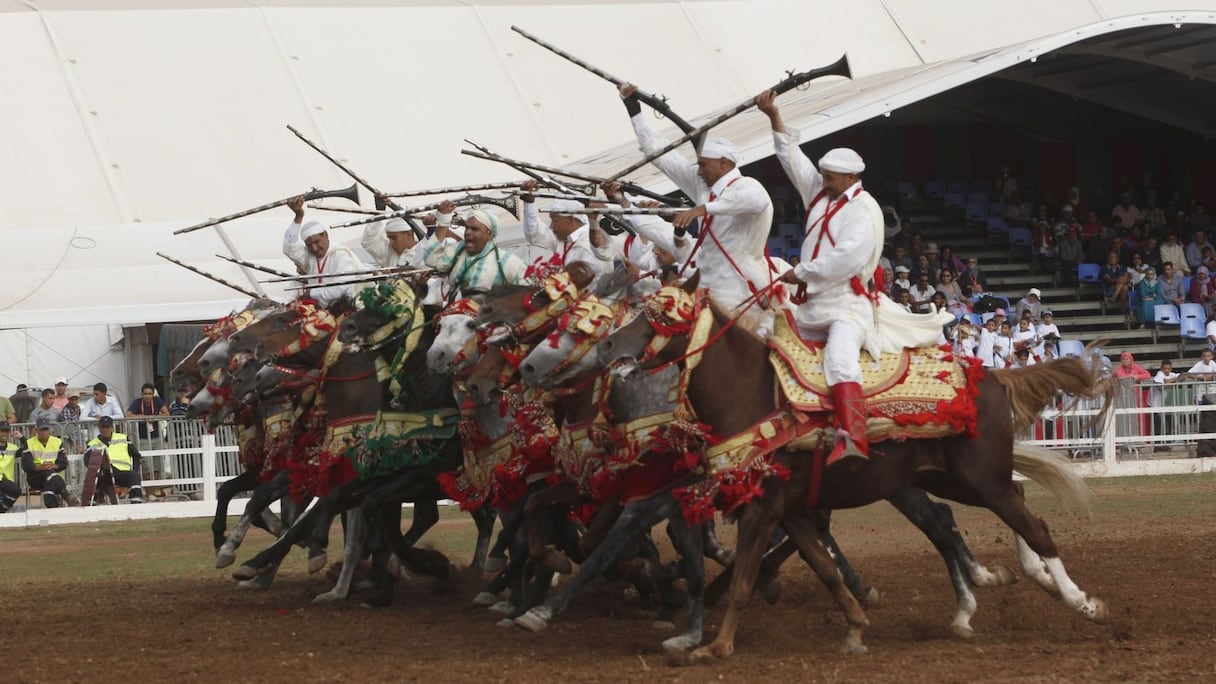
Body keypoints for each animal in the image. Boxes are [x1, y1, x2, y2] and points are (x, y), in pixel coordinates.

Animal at [593, 278, 1113, 657]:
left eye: (661, 313)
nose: (608, 346)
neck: (753, 397)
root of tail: (993, 377)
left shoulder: (763, 507)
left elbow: (744, 578)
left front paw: (716, 646)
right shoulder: (791, 509)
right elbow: (824, 568)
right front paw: (856, 628)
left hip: (979, 480)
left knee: (1033, 524)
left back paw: (1082, 602)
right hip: (950, 479)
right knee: (1009, 507)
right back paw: (1008, 589)